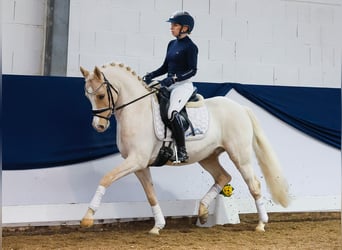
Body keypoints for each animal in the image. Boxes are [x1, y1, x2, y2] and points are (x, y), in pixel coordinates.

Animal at [79, 62, 288, 234]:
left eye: (100, 95)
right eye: (87, 96)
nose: (98, 126)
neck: (138, 111)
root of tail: (241, 108)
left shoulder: (136, 160)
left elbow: (106, 178)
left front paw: (88, 218)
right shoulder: (139, 165)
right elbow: (151, 195)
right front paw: (158, 226)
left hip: (239, 155)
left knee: (254, 184)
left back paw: (261, 224)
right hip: (207, 156)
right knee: (223, 177)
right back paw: (203, 212)